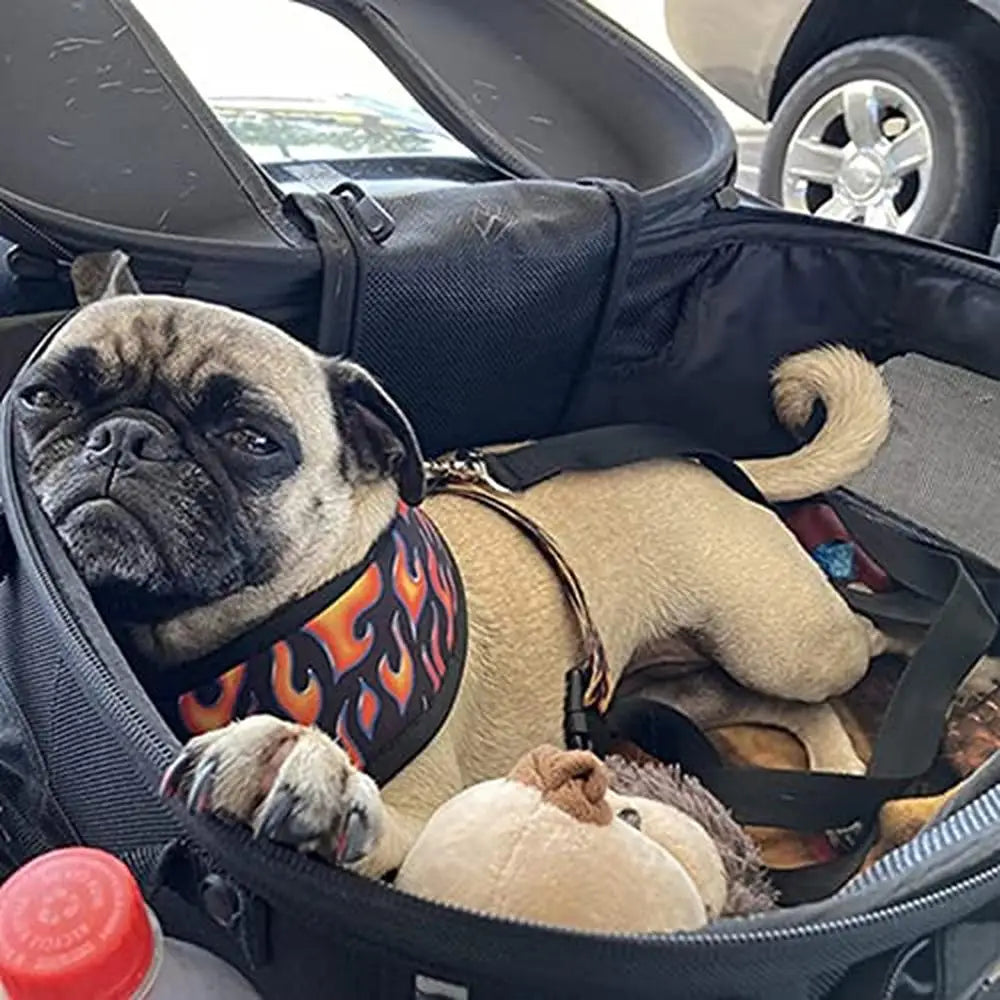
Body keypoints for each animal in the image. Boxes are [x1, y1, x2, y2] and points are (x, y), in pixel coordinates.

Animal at [13, 254, 892, 880]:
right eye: (40, 397)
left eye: (254, 441)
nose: (125, 438)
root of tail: (707, 465)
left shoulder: (423, 827)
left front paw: (290, 764)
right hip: (689, 687)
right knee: (771, 706)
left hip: (780, 640)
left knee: (852, 653)